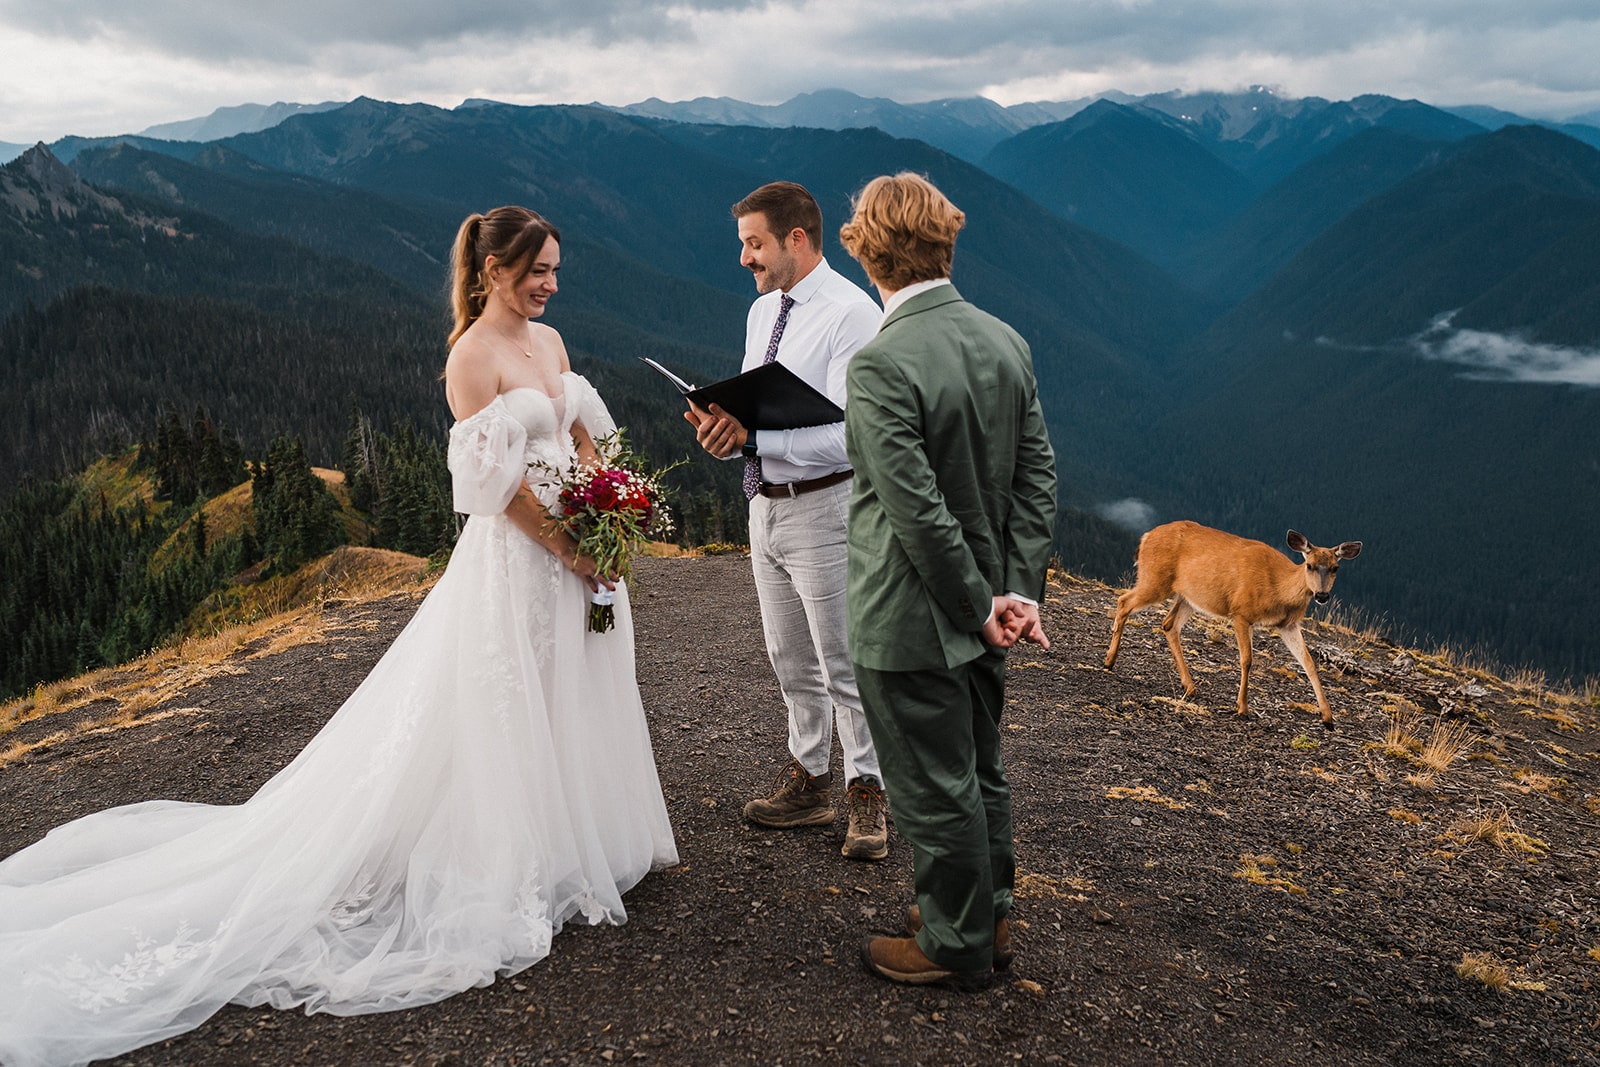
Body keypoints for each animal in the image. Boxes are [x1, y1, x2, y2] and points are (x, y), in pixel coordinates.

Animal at [1100, 521, 1363, 729]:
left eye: (1335, 568)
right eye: (1309, 565)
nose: (1322, 595)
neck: (1278, 588)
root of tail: (1145, 537)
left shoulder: (1288, 625)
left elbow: (1309, 663)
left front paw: (1327, 717)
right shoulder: (1241, 613)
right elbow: (1247, 660)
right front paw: (1242, 707)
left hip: (1189, 596)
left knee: (1168, 624)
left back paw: (1189, 686)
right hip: (1155, 579)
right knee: (1124, 602)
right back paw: (1109, 661)